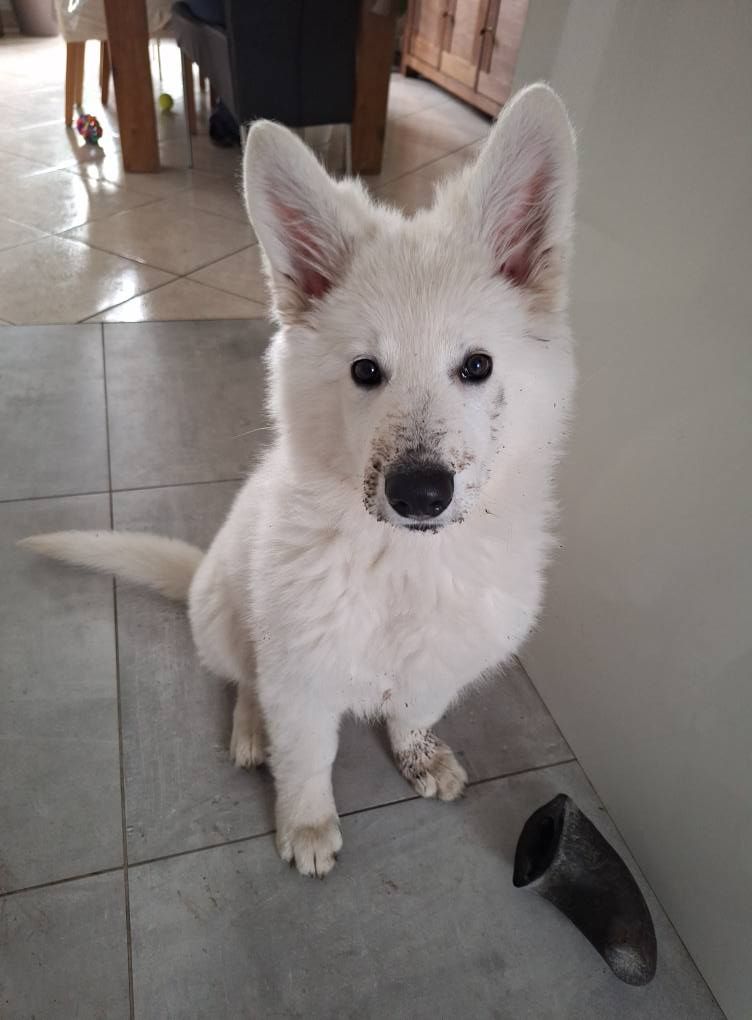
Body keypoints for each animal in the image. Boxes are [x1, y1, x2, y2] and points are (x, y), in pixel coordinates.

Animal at [21, 84, 577, 878]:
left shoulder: (443, 656)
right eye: (365, 371)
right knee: (244, 681)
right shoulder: (301, 677)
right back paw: (251, 731)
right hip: (226, 618)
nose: (419, 495)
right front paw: (307, 825)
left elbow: (415, 709)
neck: (403, 563)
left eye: (477, 366)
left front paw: (418, 756)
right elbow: (308, 757)